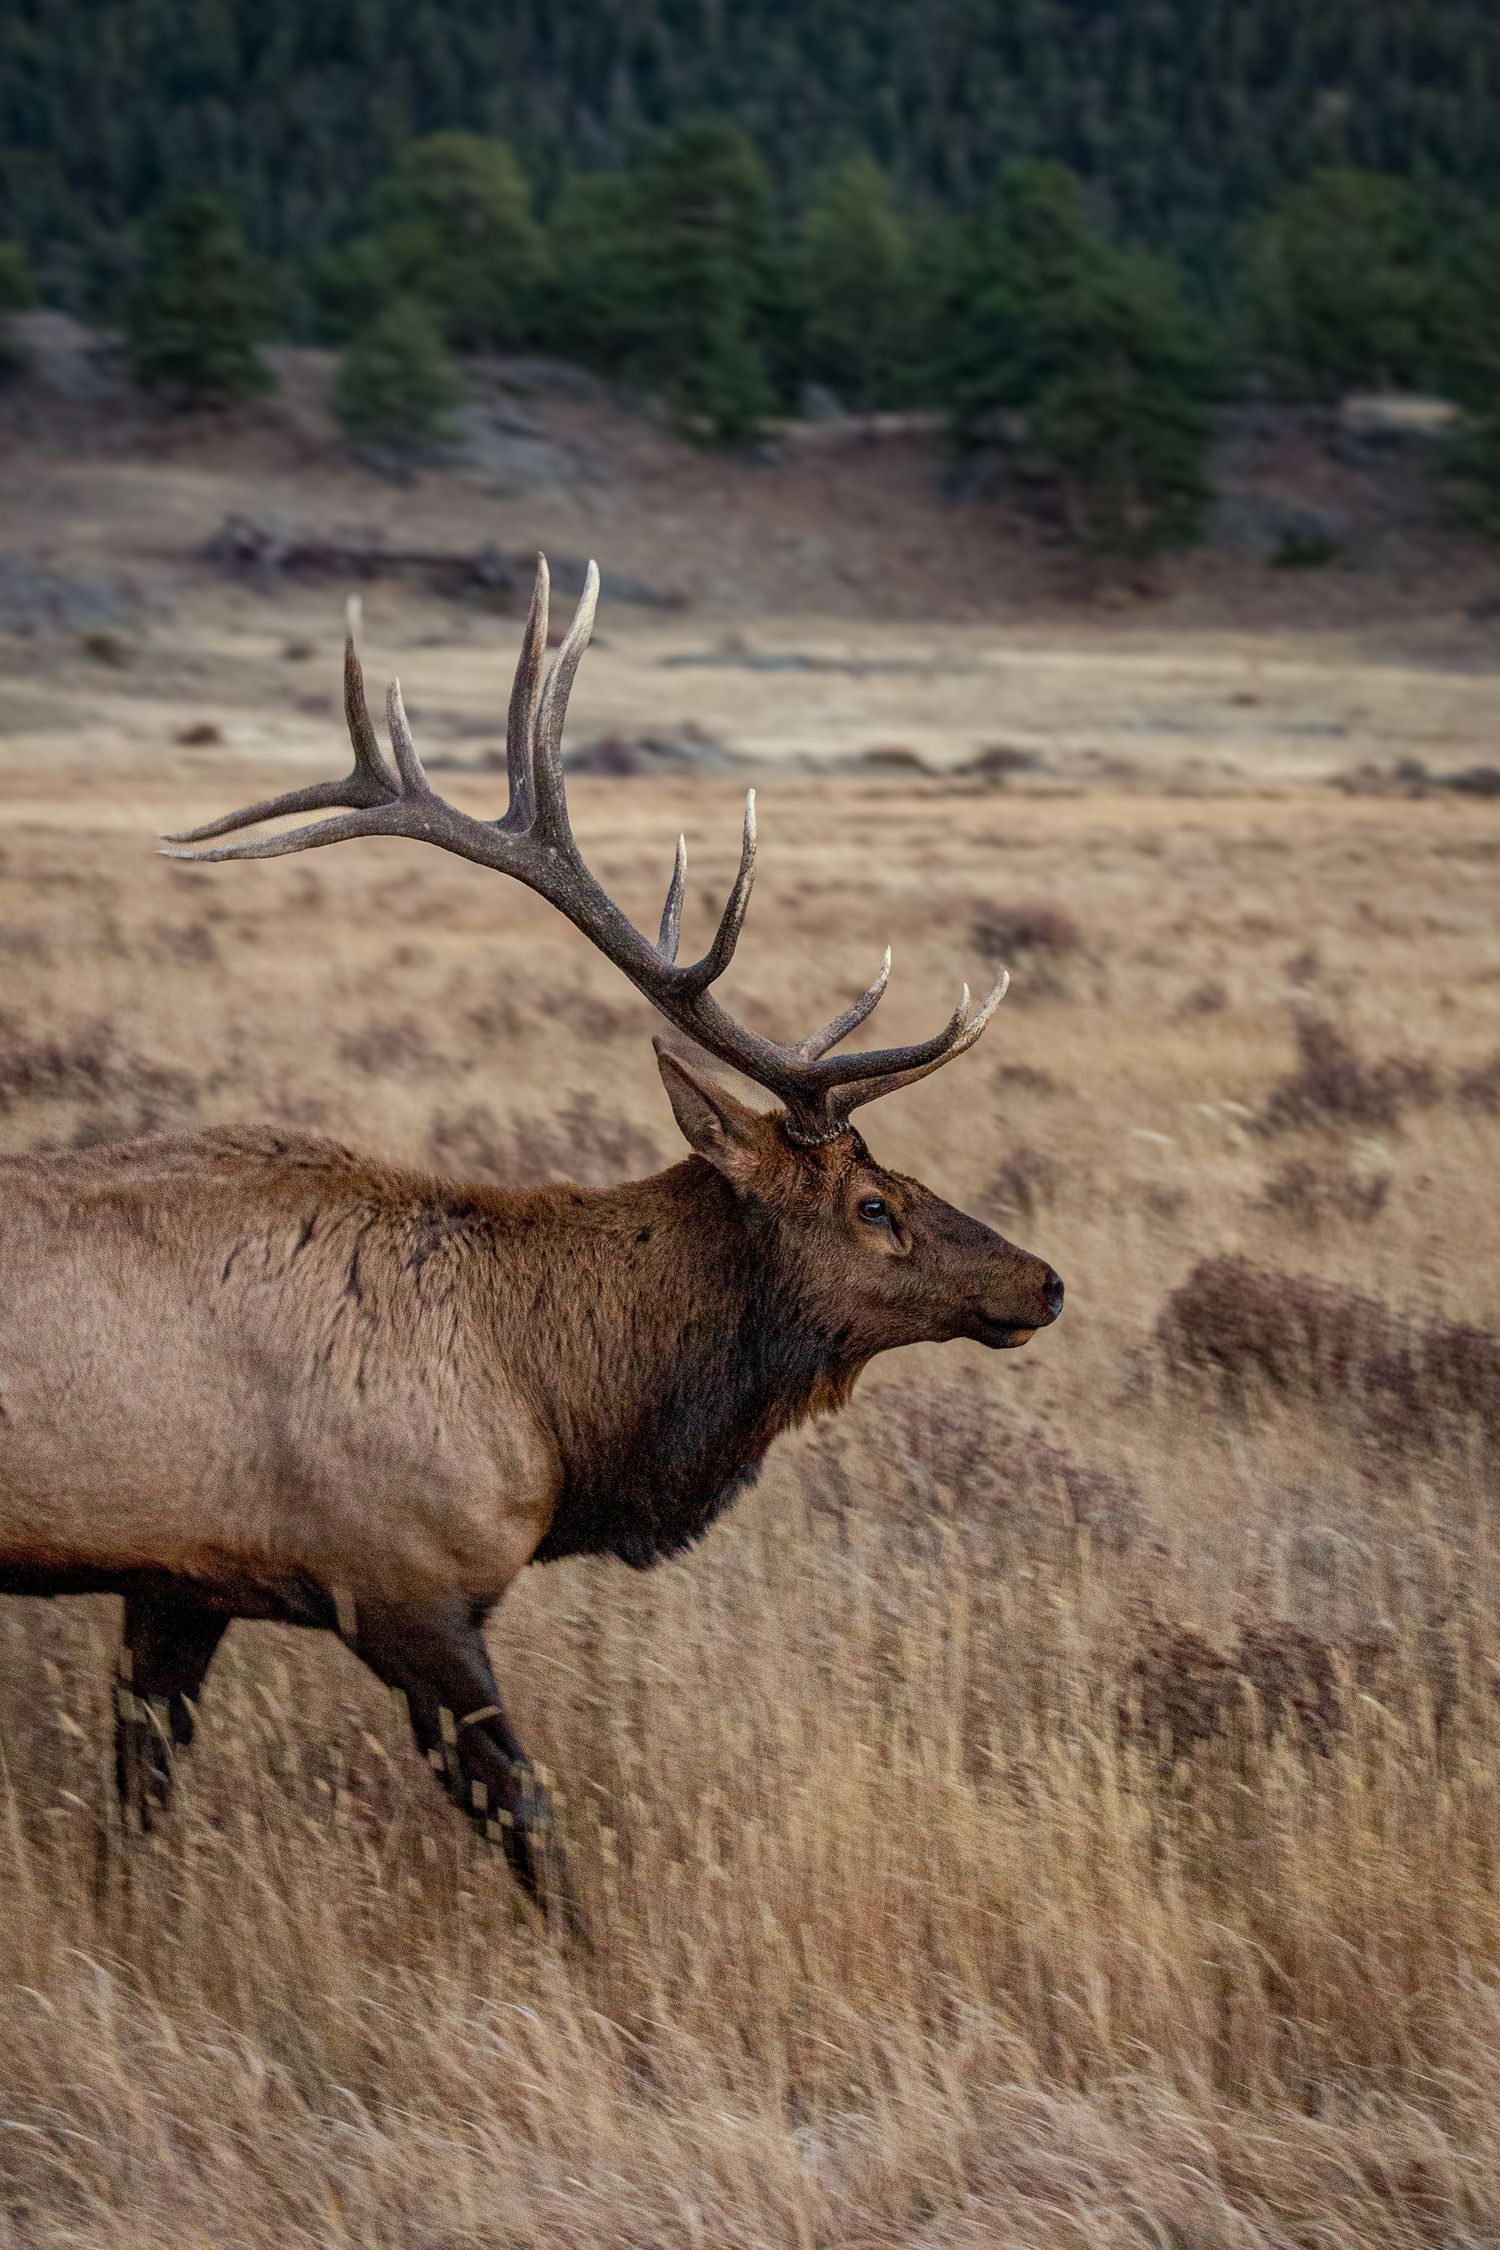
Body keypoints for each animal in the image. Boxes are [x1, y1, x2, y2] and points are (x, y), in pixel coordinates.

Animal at [0, 556, 1062, 1925]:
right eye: (872, 1206)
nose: (1042, 1282)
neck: (551, 1401)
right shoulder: (402, 1581)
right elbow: (529, 1821)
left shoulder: (179, 1581)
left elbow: (134, 1804)